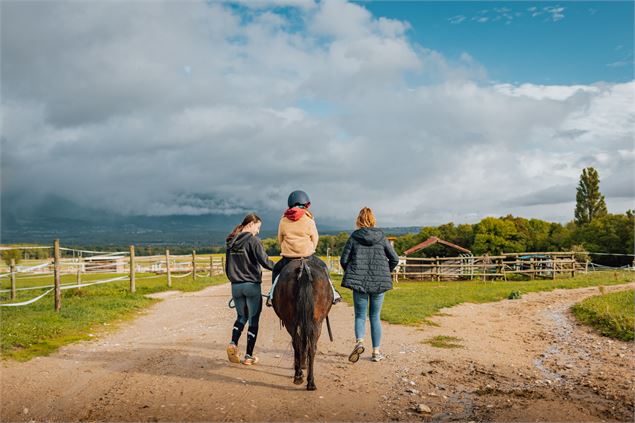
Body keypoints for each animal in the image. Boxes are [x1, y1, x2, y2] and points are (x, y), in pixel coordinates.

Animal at [272, 256, 332, 392]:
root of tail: (304, 268)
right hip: (316, 322)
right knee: (311, 347)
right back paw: (310, 382)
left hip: (292, 323)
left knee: (298, 344)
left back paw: (299, 376)